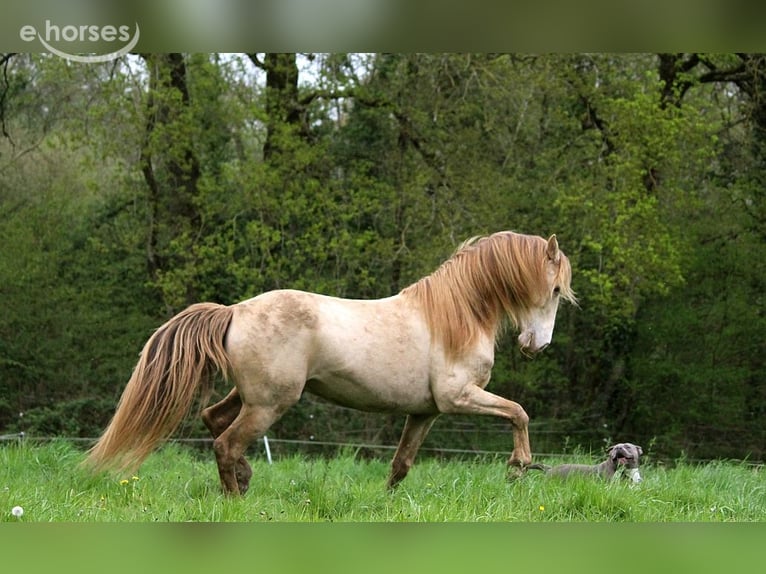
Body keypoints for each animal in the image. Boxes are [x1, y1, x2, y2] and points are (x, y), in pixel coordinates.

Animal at [84, 231, 576, 495]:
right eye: (554, 290)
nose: (537, 346)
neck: (456, 316)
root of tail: (235, 311)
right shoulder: (460, 398)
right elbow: (518, 412)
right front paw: (519, 465)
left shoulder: (426, 412)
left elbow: (401, 465)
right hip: (270, 404)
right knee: (226, 443)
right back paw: (235, 498)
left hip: (251, 397)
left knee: (213, 420)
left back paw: (244, 479)